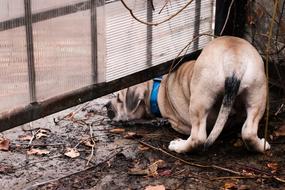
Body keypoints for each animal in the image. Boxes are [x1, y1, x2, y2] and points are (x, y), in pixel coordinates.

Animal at [105, 36, 270, 154]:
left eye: (119, 99)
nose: (106, 105)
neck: (157, 88)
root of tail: (234, 60)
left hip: (199, 100)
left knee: (198, 137)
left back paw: (179, 146)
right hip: (258, 93)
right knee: (249, 131)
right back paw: (261, 145)